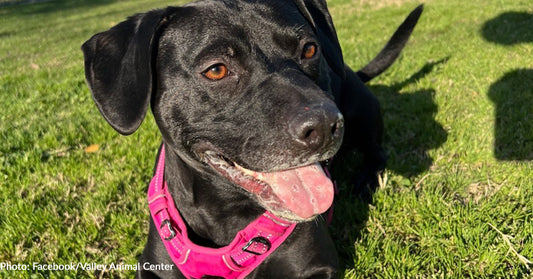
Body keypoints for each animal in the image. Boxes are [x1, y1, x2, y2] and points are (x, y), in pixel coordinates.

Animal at [83, 1, 422, 278]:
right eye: (217, 70)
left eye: (310, 50)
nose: (326, 126)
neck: (227, 212)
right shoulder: (152, 267)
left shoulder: (318, 267)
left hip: (362, 112)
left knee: (377, 153)